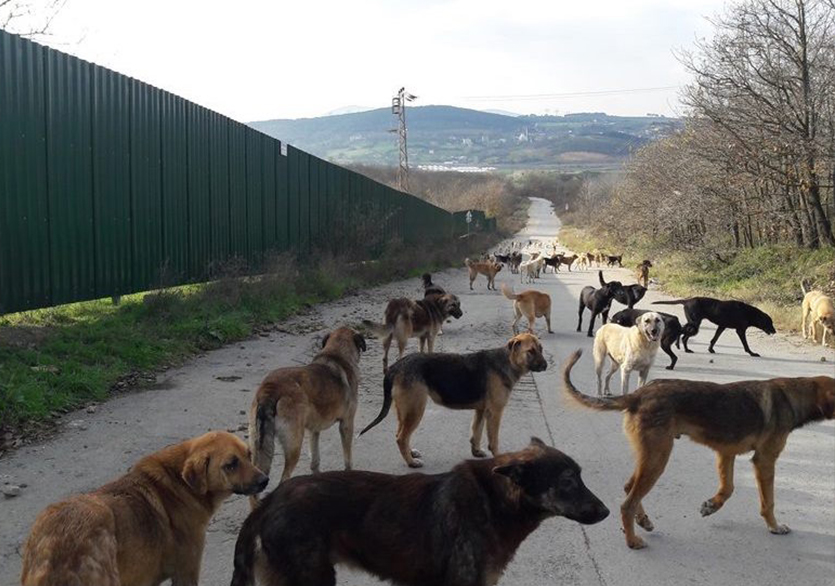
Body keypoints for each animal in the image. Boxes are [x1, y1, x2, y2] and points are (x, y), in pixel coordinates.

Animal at [20, 428, 268, 584]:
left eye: (249, 455)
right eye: (231, 464)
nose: (264, 480)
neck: (180, 482)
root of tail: (53, 545)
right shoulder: (186, 570)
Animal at [247, 328, 368, 502]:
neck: (336, 354)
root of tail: (270, 389)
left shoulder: (314, 430)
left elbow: (315, 460)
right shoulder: (346, 424)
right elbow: (347, 458)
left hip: (258, 447)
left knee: (253, 494)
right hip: (294, 445)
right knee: (283, 479)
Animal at [360, 334, 548, 466]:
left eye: (541, 349)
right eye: (531, 351)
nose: (546, 366)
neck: (507, 361)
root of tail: (395, 366)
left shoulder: (481, 410)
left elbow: (476, 433)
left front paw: (476, 452)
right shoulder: (495, 412)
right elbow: (493, 440)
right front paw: (499, 457)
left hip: (405, 410)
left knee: (400, 434)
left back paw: (411, 453)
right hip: (415, 409)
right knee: (401, 437)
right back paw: (411, 463)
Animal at [560, 350, 835, 548]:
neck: (793, 395)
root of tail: (639, 394)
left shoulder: (726, 453)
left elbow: (728, 489)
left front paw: (711, 506)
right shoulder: (765, 460)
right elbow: (768, 502)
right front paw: (775, 527)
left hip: (651, 455)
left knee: (629, 488)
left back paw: (643, 521)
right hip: (658, 457)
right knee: (627, 502)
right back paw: (633, 540)